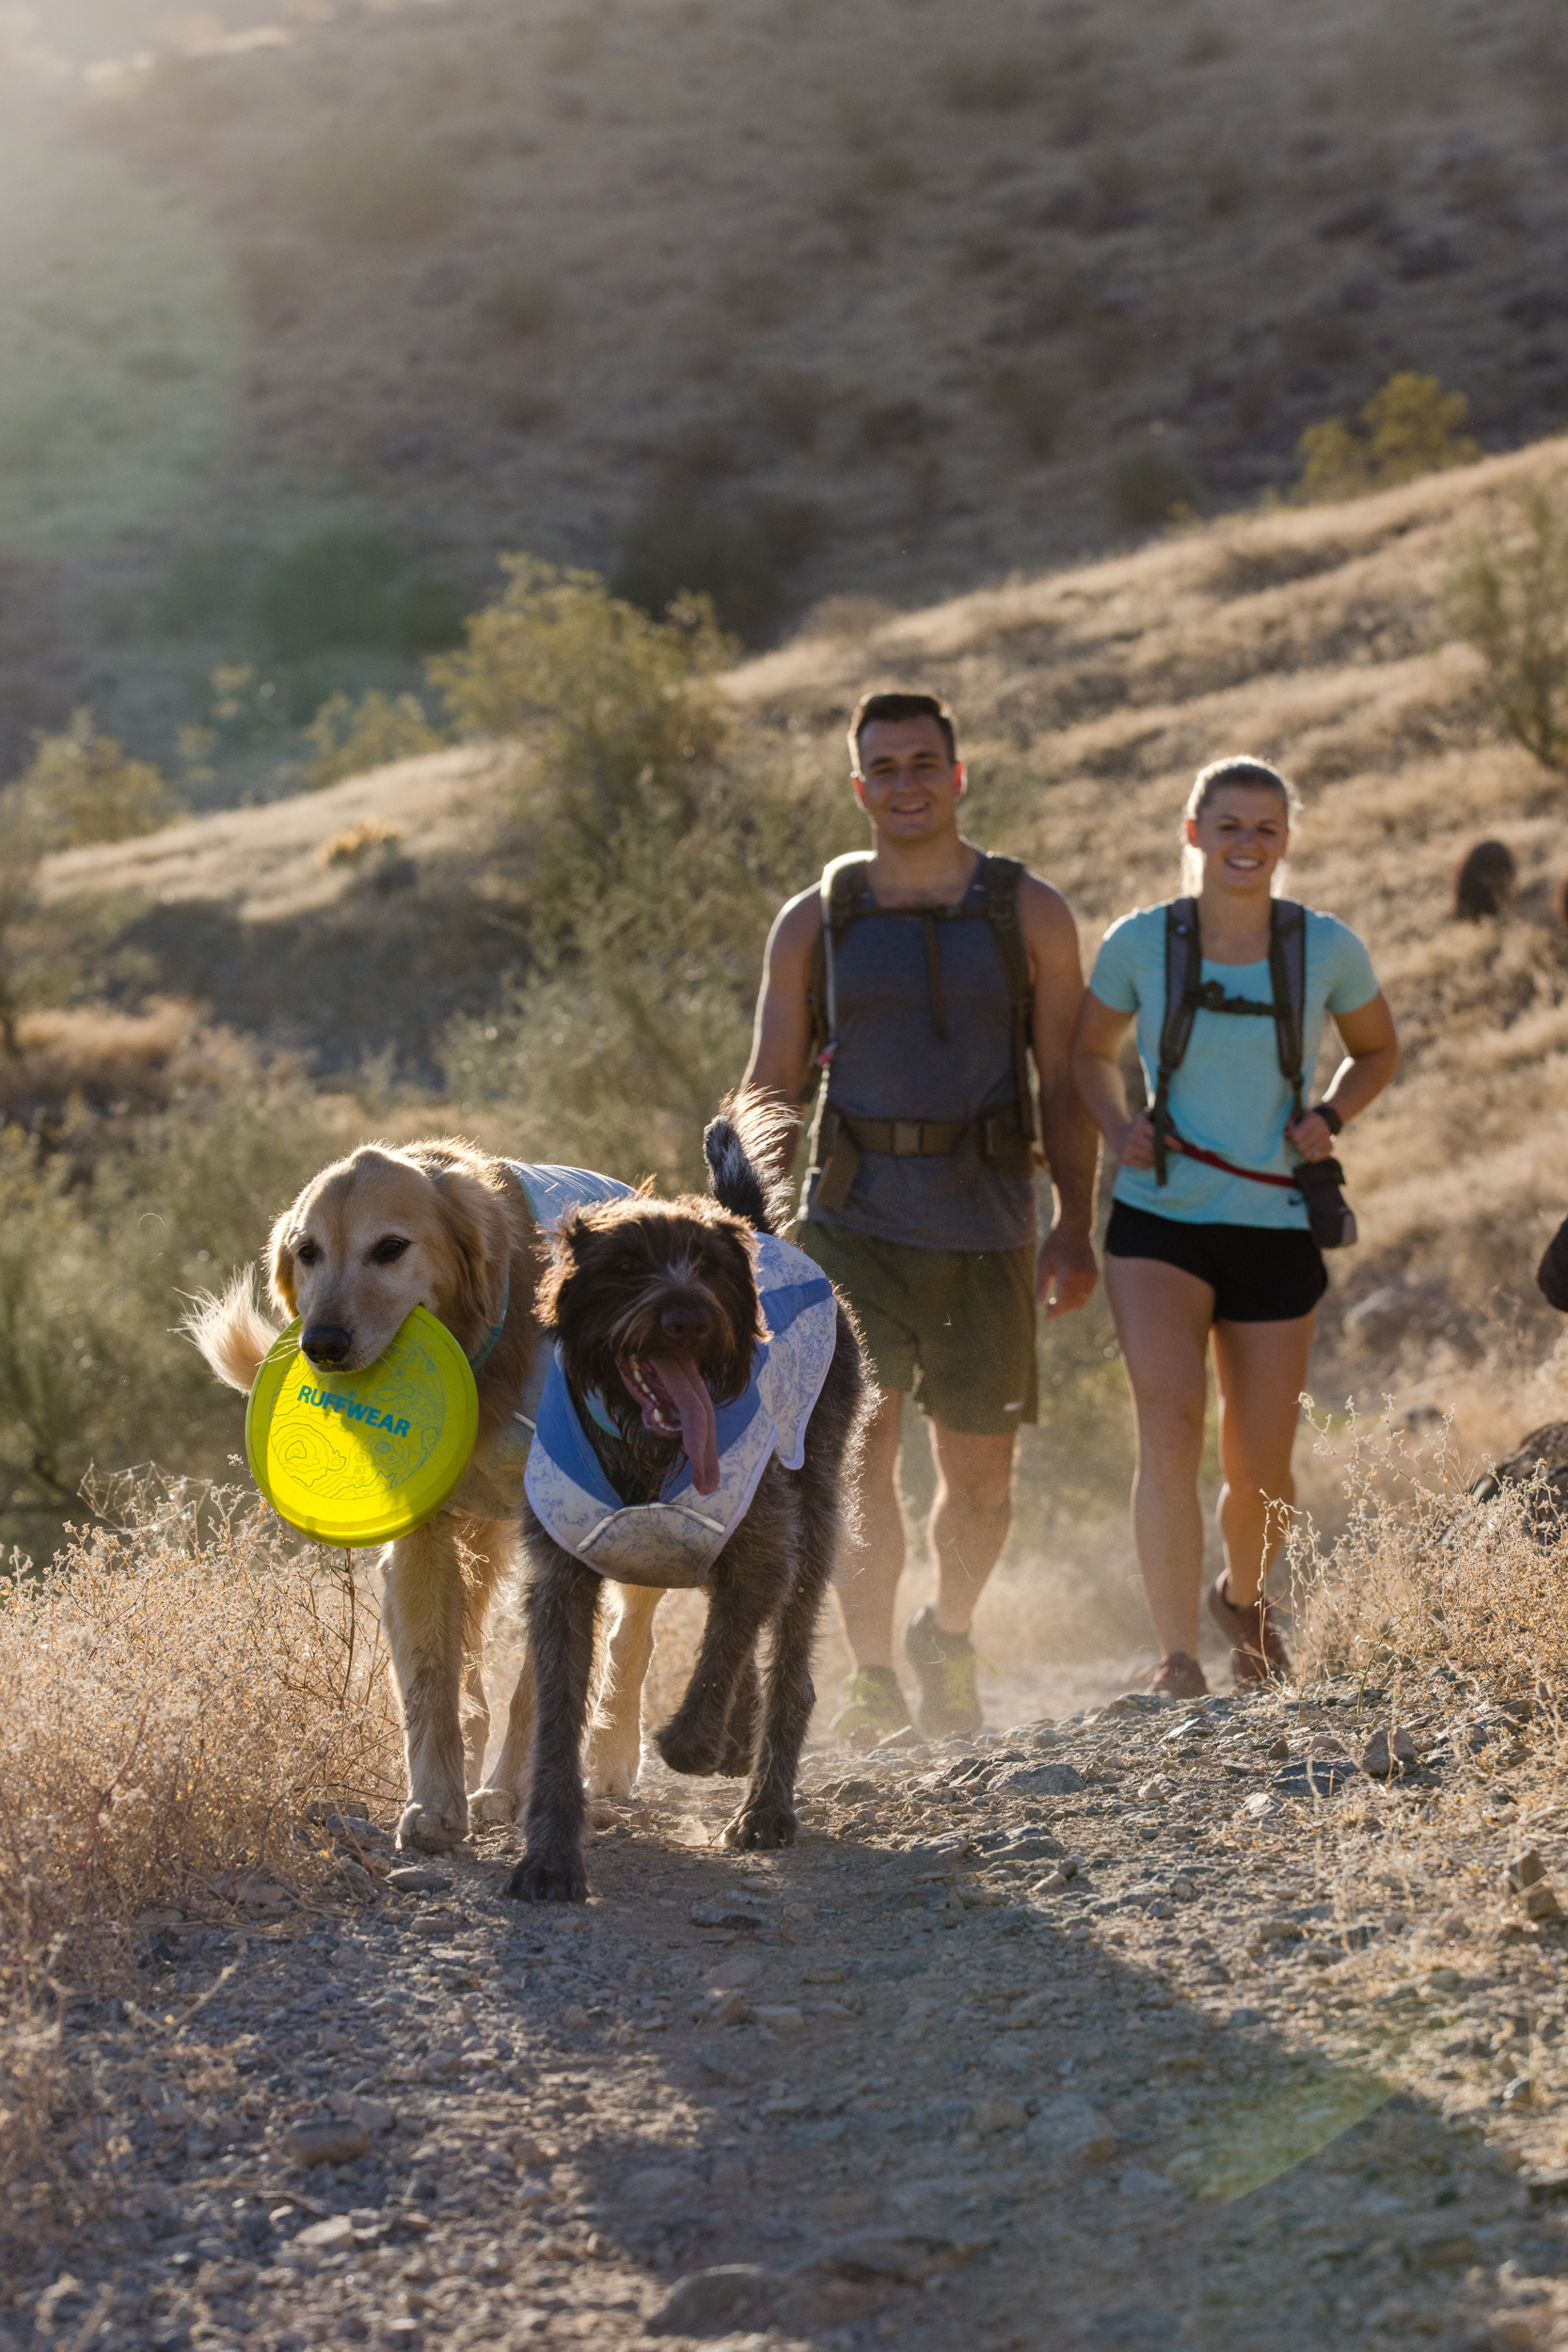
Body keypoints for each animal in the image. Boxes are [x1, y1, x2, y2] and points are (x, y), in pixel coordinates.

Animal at [510, 1091, 869, 1900]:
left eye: (706, 1266)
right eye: (625, 1267)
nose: (688, 1317)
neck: (647, 1448)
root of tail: (760, 1227)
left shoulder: (763, 1545)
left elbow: (725, 1649)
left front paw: (694, 1742)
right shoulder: (561, 1581)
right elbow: (557, 1719)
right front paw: (549, 1856)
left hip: (817, 1509)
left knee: (787, 1667)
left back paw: (764, 1806)